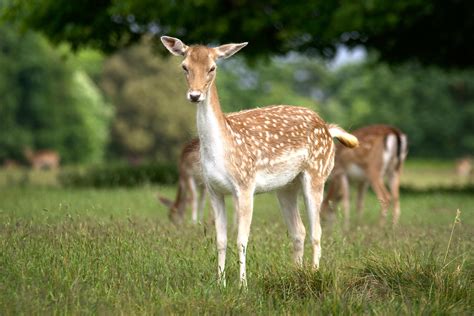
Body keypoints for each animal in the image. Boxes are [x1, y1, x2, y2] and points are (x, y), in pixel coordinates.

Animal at [161, 35, 358, 288]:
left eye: (212, 68)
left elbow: (241, 239)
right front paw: (220, 283)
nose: (195, 95)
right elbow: (220, 240)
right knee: (299, 231)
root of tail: (327, 128)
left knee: (317, 231)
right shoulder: (214, 189)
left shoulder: (245, 185)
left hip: (317, 173)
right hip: (286, 186)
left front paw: (242, 285)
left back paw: (314, 275)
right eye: (184, 66)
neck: (223, 148)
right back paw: (296, 275)